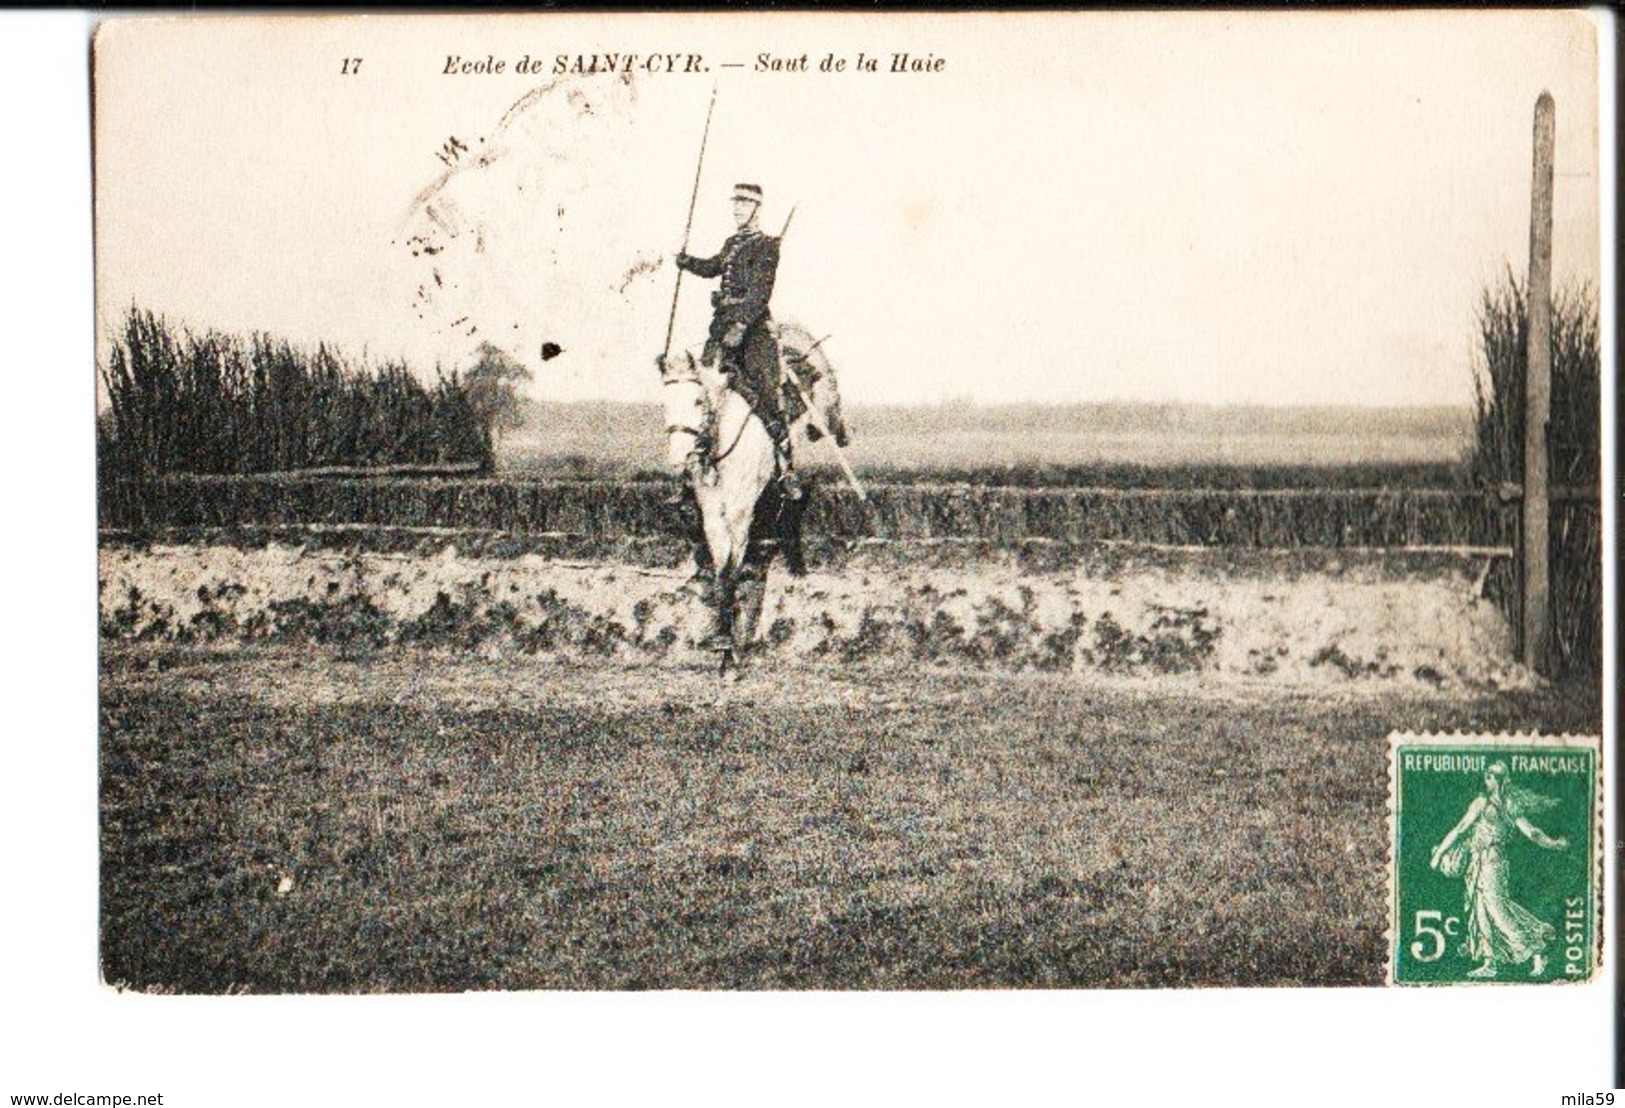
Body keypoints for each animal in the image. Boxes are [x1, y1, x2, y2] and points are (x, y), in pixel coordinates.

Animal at [656, 316, 851, 666]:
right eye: (664, 405)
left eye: (697, 400)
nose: (680, 459)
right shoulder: (713, 515)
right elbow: (722, 567)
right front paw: (723, 635)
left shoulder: (740, 511)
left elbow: (731, 567)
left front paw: (728, 645)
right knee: (763, 553)